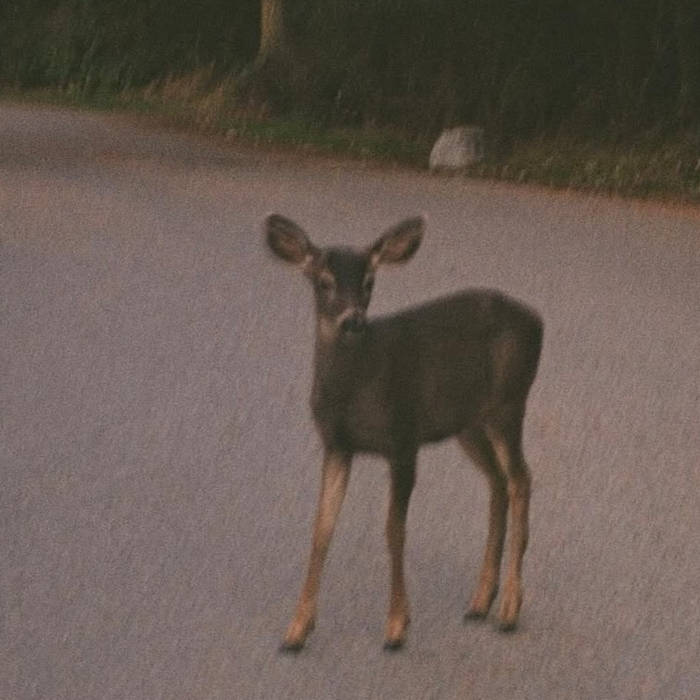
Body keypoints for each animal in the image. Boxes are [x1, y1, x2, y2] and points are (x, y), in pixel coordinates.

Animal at [264, 213, 543, 651]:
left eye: (369, 281)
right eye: (323, 280)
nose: (353, 320)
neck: (355, 388)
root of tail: (538, 321)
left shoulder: (403, 437)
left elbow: (394, 530)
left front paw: (397, 626)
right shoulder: (336, 444)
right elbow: (321, 529)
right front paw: (296, 630)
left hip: (509, 402)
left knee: (521, 478)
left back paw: (509, 608)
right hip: (468, 422)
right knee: (497, 480)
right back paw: (481, 600)